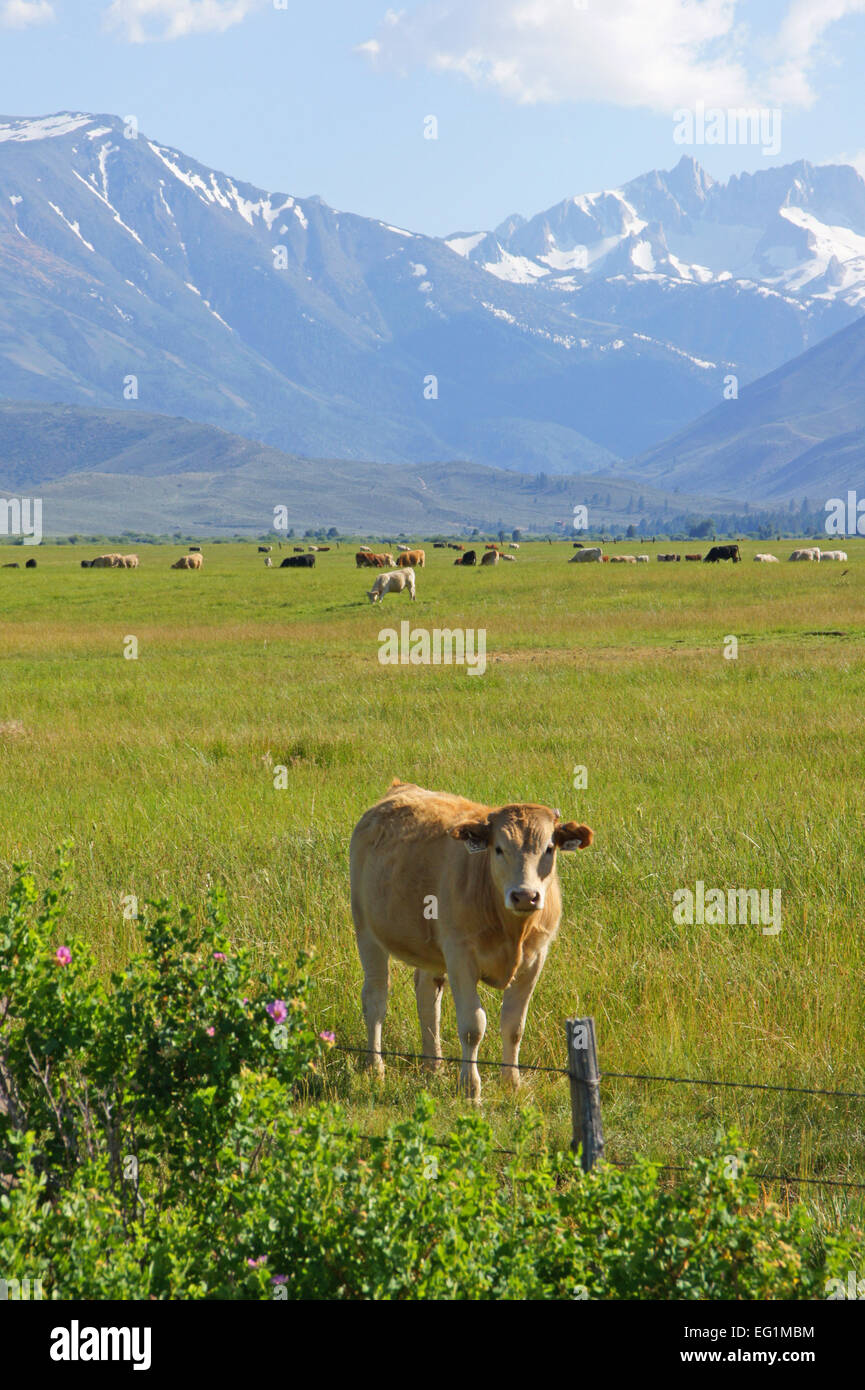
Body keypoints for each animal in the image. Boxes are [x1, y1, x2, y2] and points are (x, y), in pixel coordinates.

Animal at [349, 779, 593, 1100]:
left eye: (549, 848)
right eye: (499, 849)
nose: (525, 895)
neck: (512, 930)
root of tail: (400, 788)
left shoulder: (535, 959)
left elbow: (514, 1025)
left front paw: (511, 1082)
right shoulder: (460, 956)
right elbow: (472, 1026)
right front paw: (470, 1087)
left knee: (427, 995)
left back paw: (433, 1067)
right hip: (367, 931)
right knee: (375, 998)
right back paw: (376, 1068)